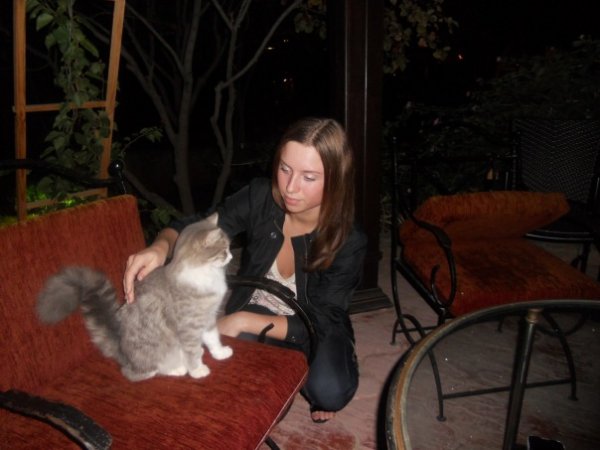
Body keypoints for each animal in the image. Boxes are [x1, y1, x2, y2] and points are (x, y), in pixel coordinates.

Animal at [36, 213, 233, 382]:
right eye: (224, 250)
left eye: (229, 248)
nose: (231, 256)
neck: (207, 274)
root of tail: (121, 351)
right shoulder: (189, 326)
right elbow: (191, 352)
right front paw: (197, 370)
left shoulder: (207, 317)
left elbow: (213, 337)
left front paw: (220, 352)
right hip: (153, 356)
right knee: (143, 371)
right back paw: (176, 368)